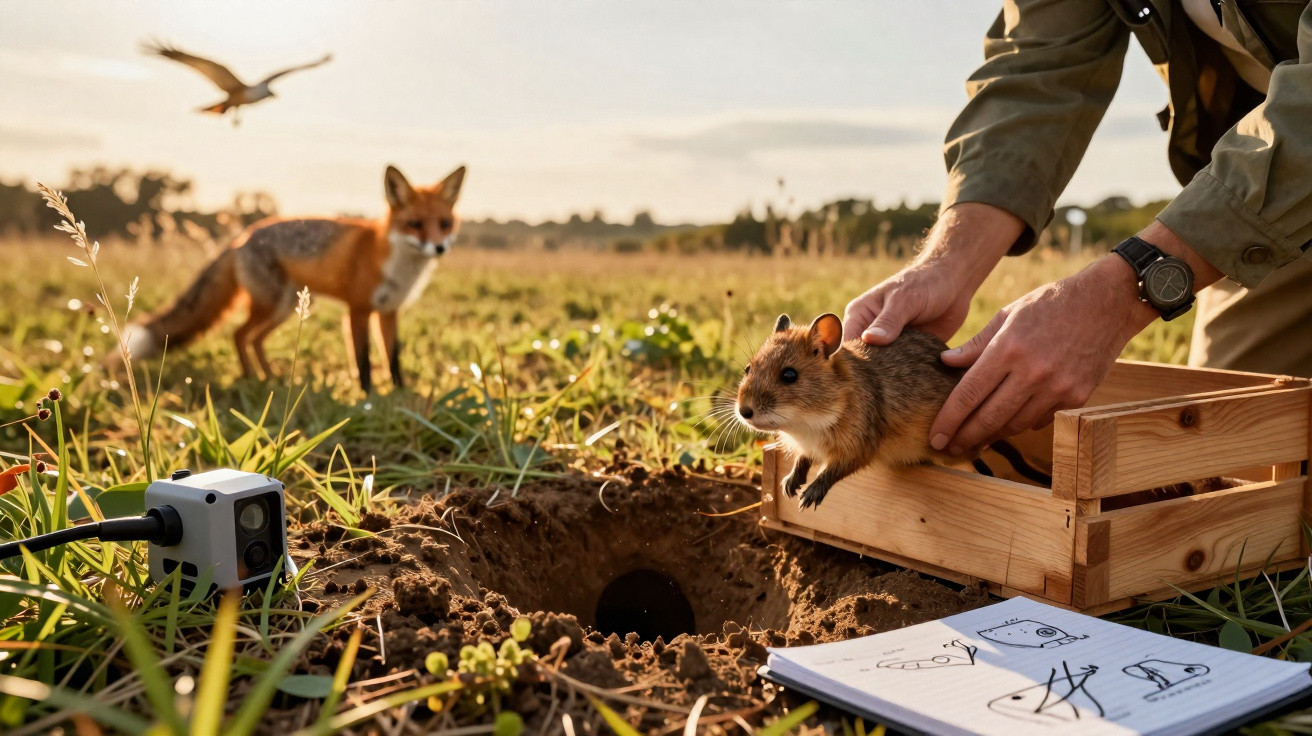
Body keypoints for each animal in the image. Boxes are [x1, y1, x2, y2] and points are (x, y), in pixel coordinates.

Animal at [122, 164, 465, 392]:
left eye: (445, 224)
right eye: (415, 224)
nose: (439, 248)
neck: (394, 260)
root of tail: (241, 238)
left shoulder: (389, 311)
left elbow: (392, 357)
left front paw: (400, 392)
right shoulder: (358, 310)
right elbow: (364, 360)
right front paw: (368, 396)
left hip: (285, 309)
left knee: (254, 339)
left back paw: (270, 377)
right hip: (272, 305)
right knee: (239, 335)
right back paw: (251, 378)